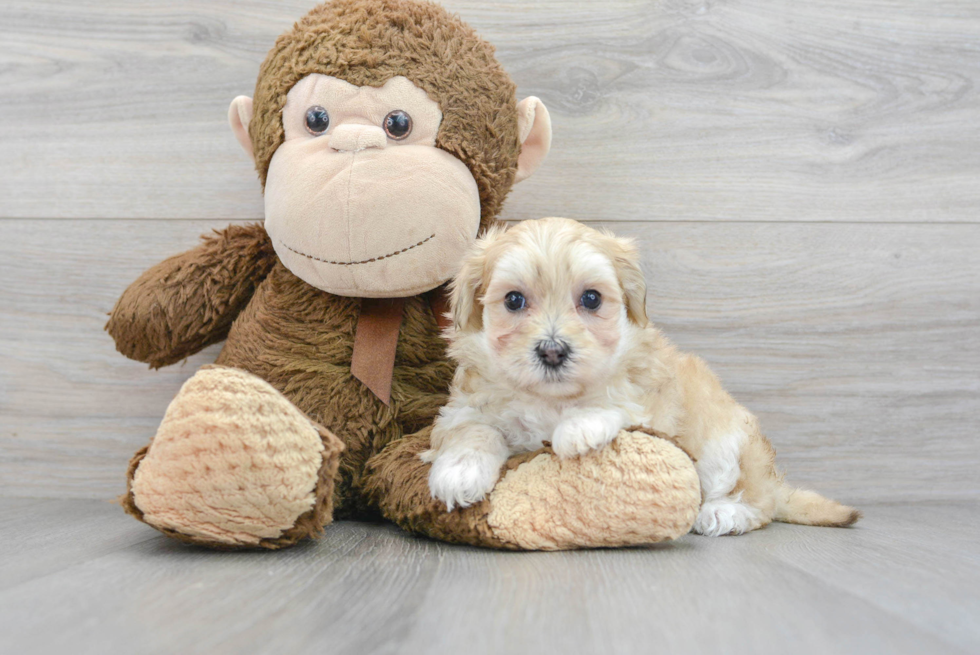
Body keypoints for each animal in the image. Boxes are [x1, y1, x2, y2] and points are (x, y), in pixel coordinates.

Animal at [422, 218, 856, 536]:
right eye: (513, 300)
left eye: (592, 298)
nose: (553, 351)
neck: (552, 398)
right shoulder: (466, 408)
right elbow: (473, 431)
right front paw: (459, 473)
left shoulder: (650, 403)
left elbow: (617, 403)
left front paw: (578, 427)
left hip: (725, 444)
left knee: (757, 502)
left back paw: (723, 514)